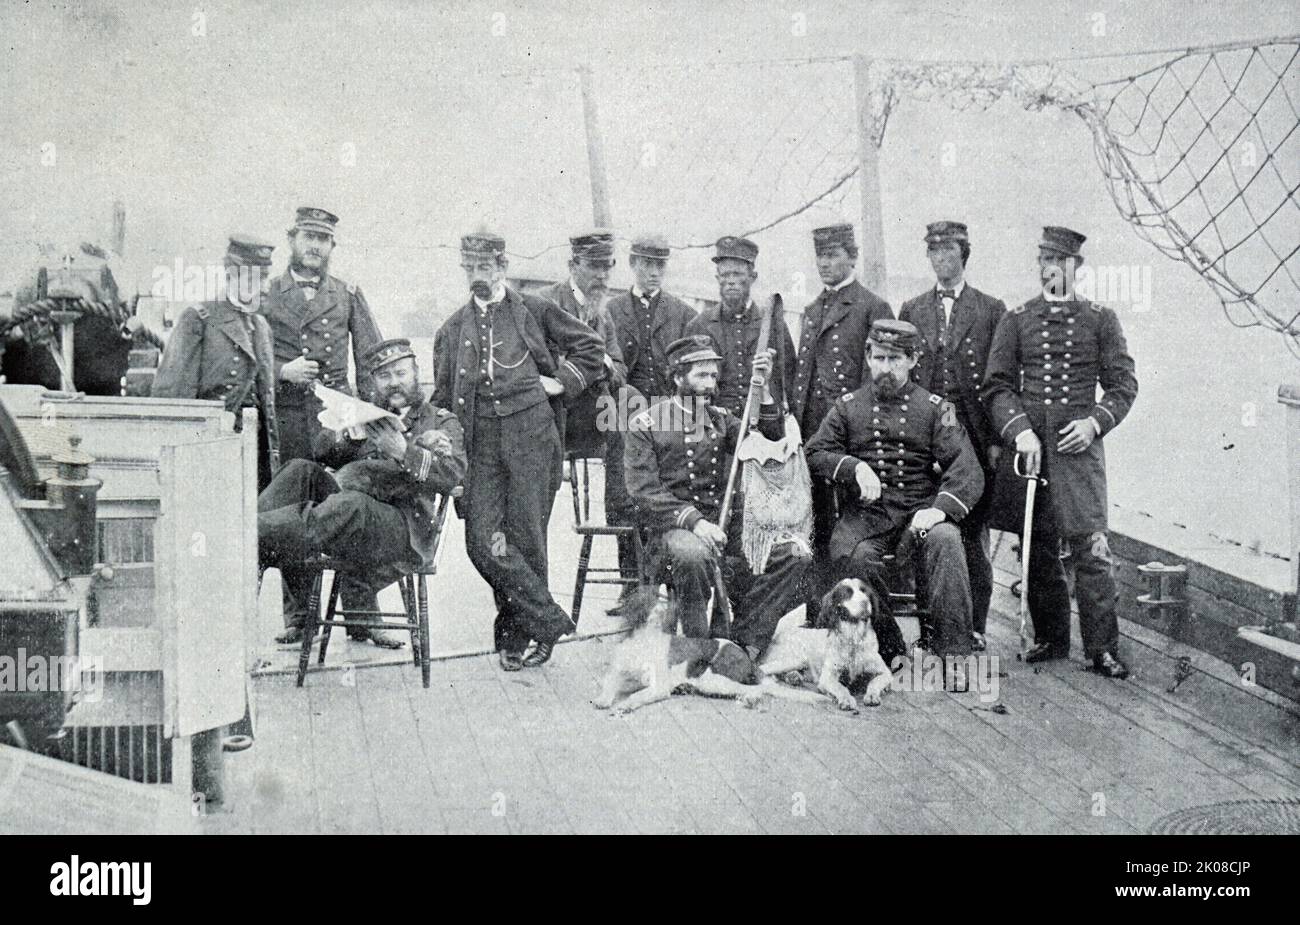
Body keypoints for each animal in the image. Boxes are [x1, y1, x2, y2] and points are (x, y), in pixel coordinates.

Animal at [595, 584, 826, 717]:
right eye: (646, 600)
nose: (664, 609)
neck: (643, 639)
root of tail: (746, 658)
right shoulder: (620, 672)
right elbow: (609, 684)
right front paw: (604, 699)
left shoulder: (659, 686)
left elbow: (638, 695)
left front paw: (625, 705)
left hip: (712, 679)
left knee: (756, 690)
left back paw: (750, 700)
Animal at [759, 576, 909, 717]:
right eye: (847, 593)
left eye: (865, 591)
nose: (865, 602)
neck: (853, 639)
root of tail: (778, 634)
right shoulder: (828, 677)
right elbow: (840, 687)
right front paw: (846, 699)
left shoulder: (885, 672)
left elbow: (874, 682)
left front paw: (872, 695)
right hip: (795, 659)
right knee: (763, 669)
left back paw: (793, 676)